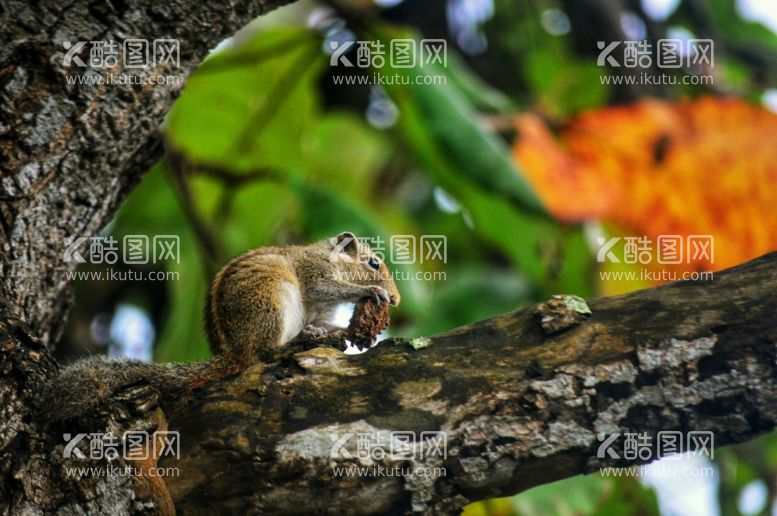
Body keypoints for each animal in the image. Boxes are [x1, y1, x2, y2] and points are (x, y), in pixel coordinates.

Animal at [41, 234, 400, 424]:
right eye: (373, 263)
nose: (396, 299)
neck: (330, 257)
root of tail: (232, 354)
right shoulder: (314, 272)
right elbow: (324, 287)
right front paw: (369, 293)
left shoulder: (321, 311)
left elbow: (326, 320)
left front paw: (349, 334)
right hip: (272, 298)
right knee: (264, 354)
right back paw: (297, 343)